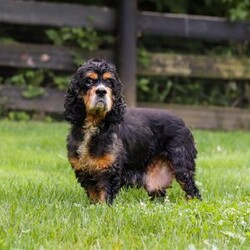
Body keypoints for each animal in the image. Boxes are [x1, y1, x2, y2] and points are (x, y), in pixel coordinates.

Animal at [64, 58, 201, 205]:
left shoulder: (109, 170)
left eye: (109, 82)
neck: (93, 125)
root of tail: (183, 122)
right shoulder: (84, 170)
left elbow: (105, 197)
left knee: (192, 190)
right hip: (155, 178)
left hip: (181, 164)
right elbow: (94, 196)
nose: (101, 91)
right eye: (88, 81)